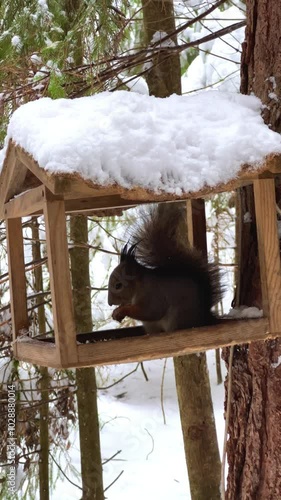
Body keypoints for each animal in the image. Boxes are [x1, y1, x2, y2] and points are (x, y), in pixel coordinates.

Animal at [106, 201, 221, 334]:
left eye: (118, 286)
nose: (110, 303)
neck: (140, 285)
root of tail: (204, 319)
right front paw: (117, 311)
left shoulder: (153, 294)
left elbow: (151, 311)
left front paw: (122, 310)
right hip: (152, 325)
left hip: (178, 317)